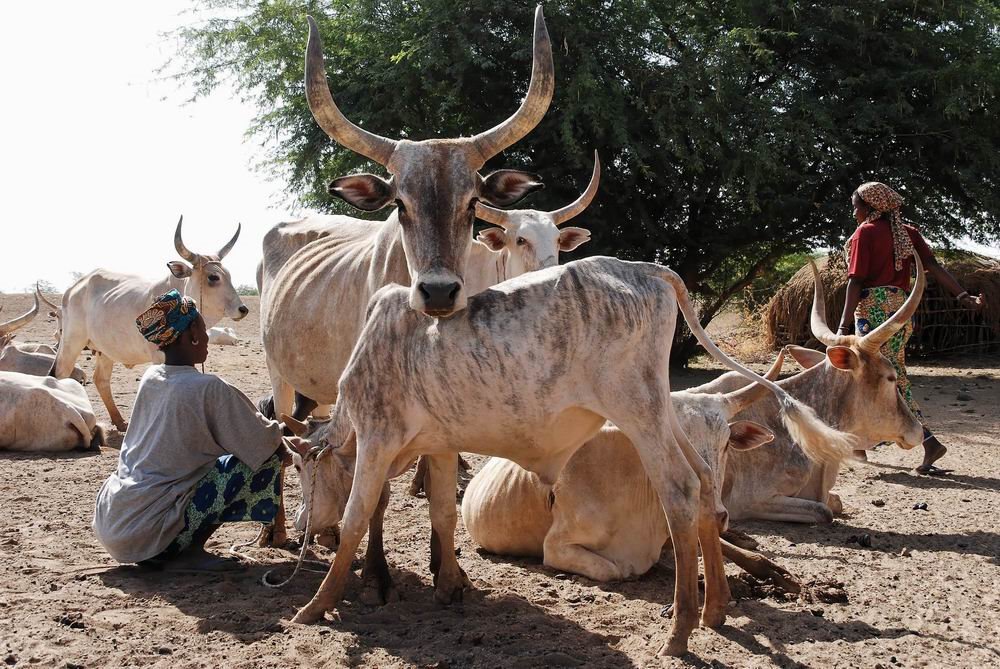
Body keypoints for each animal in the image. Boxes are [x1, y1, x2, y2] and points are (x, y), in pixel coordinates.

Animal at [49, 217, 247, 430]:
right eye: (213, 277)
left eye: (228, 275)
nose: (243, 309)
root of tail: (74, 287)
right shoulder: (161, 356)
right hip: (72, 341)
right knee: (61, 373)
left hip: (106, 349)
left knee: (100, 379)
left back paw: (119, 421)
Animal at [280, 258, 852, 656]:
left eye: (305, 468)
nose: (304, 523)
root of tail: (643, 269)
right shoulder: (438, 447)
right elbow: (441, 513)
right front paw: (449, 587)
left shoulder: (376, 437)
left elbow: (356, 520)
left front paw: (314, 606)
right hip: (664, 410)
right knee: (707, 493)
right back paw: (714, 610)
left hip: (636, 407)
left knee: (681, 493)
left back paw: (679, 630)